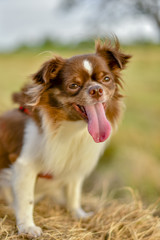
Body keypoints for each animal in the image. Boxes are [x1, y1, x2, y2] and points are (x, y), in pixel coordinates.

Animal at [0, 38, 131, 237]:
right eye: (73, 85)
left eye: (106, 79)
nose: (96, 90)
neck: (71, 127)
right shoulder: (24, 166)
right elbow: (26, 200)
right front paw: (27, 227)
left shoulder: (74, 163)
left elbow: (73, 192)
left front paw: (78, 214)